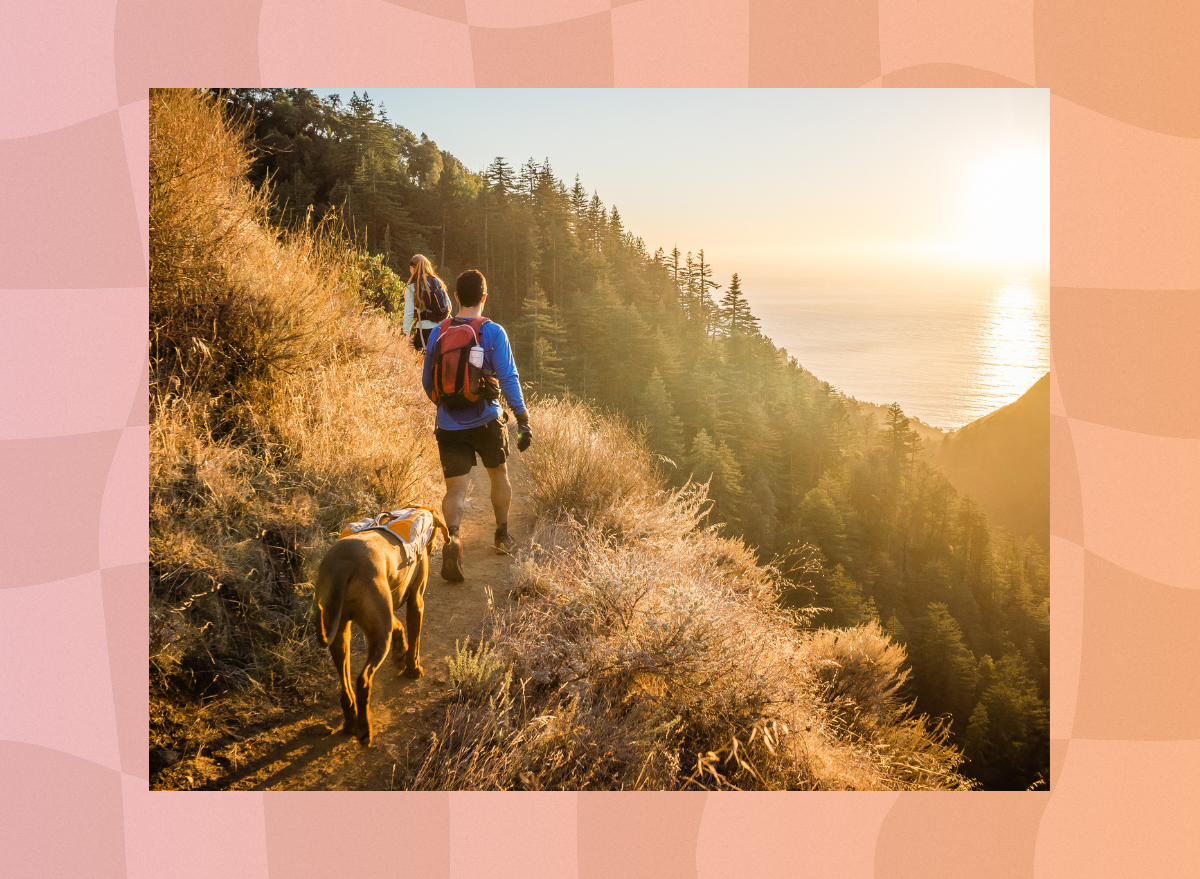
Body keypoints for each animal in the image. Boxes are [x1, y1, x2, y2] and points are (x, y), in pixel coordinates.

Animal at [314, 504, 451, 744]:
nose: (433, 547)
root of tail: (343, 563)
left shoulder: (385, 611)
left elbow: (399, 626)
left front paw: (400, 650)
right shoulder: (416, 601)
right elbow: (414, 640)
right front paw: (413, 669)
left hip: (342, 631)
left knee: (345, 685)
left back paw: (350, 722)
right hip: (379, 635)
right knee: (363, 679)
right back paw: (363, 730)